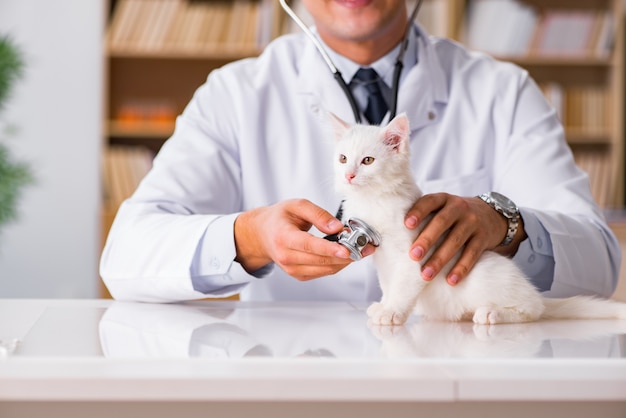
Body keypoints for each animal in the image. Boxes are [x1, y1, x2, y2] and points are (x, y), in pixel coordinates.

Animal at [330, 112, 620, 324]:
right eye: (343, 158)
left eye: (368, 161)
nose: (349, 175)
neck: (373, 200)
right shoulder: (382, 260)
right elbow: (389, 284)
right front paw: (383, 304)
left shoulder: (414, 255)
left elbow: (402, 287)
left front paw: (392, 313)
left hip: (484, 278)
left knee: (532, 309)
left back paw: (493, 313)